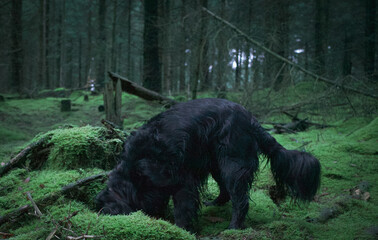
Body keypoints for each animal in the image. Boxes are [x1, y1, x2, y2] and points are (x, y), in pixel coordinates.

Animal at [96, 97, 320, 231]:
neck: (134, 172)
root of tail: (251, 119)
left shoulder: (181, 179)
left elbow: (183, 208)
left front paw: (180, 229)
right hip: (216, 162)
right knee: (226, 190)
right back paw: (215, 203)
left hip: (232, 163)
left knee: (240, 200)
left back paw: (233, 228)